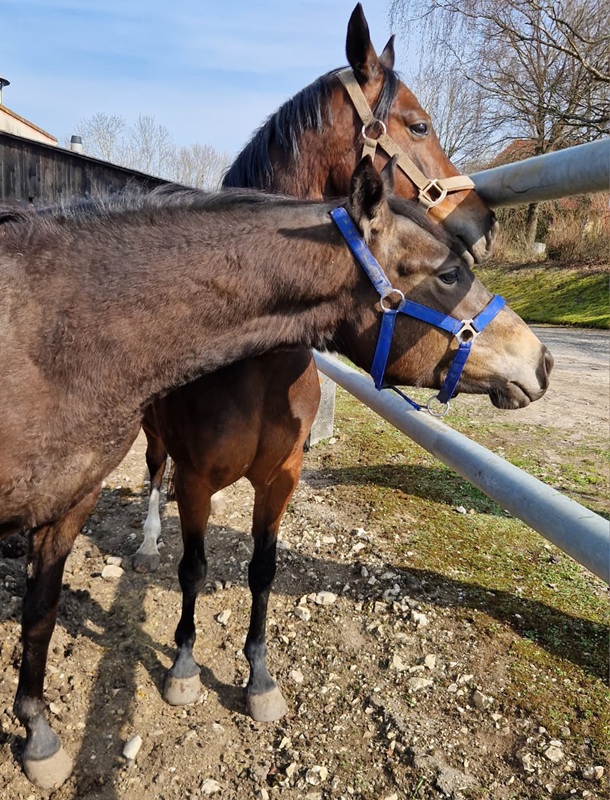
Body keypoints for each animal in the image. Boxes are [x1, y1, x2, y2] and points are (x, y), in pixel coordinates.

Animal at [0, 156, 551, 788]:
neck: (62, 329)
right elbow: (192, 568)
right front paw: (183, 669)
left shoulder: (279, 479)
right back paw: (147, 543)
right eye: (450, 274)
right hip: (156, 444)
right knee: (155, 478)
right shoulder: (190, 480)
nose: (542, 362)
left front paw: (259, 681)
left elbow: (261, 572)